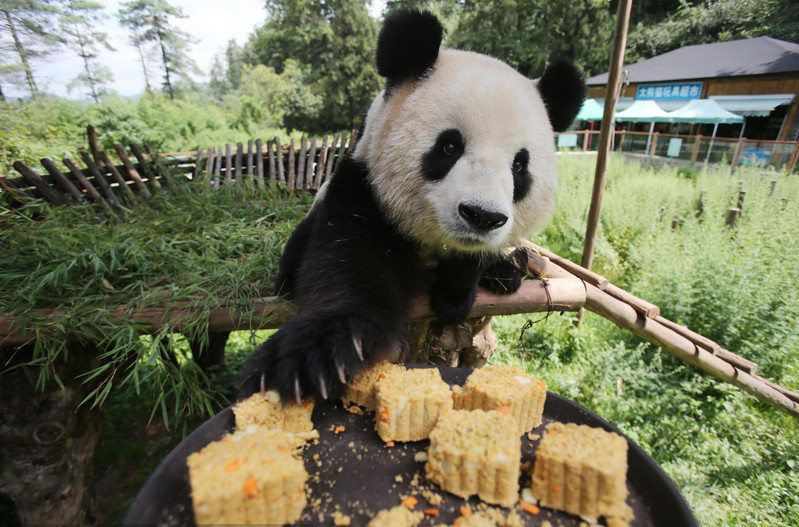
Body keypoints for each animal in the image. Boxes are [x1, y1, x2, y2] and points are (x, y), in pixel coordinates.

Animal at [241, 8, 584, 402]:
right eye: (449, 146)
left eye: (519, 165)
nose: (482, 216)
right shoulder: (364, 186)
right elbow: (347, 264)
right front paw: (312, 354)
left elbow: (469, 262)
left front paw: (457, 295)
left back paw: (504, 272)